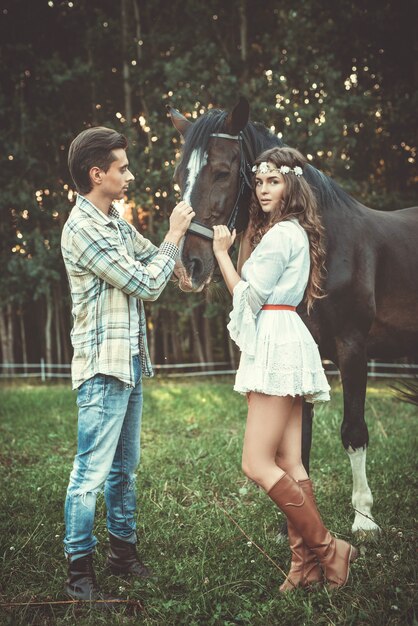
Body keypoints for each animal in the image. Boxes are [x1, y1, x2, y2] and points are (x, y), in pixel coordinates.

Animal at [167, 97, 418, 532]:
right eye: (182, 175)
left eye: (222, 172)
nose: (188, 268)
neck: (324, 242)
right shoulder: (306, 351)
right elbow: (298, 439)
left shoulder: (353, 349)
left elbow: (354, 430)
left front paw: (363, 519)